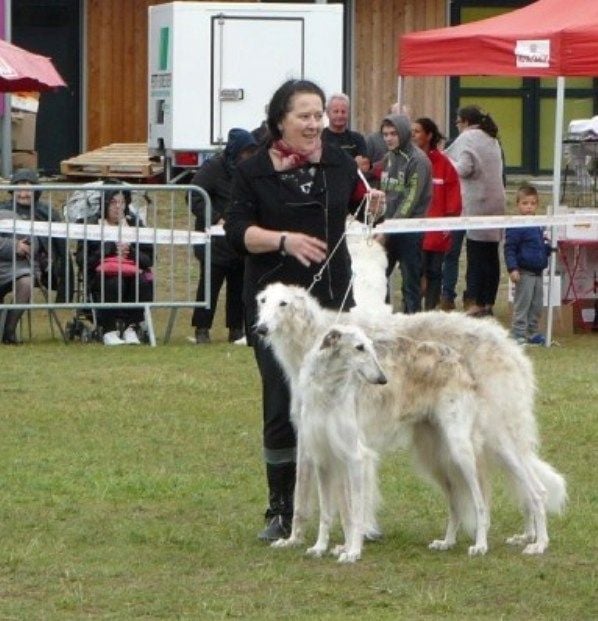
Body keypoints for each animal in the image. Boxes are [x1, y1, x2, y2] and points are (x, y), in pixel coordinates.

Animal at [255, 284, 568, 560]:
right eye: (262, 301)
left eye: (283, 303)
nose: (259, 329)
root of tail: (508, 343)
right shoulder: (312, 440)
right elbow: (303, 496)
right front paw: (294, 539)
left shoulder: (354, 450)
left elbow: (350, 505)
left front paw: (350, 543)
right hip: (442, 450)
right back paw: (523, 535)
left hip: (486, 435)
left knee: (529, 486)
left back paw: (534, 539)